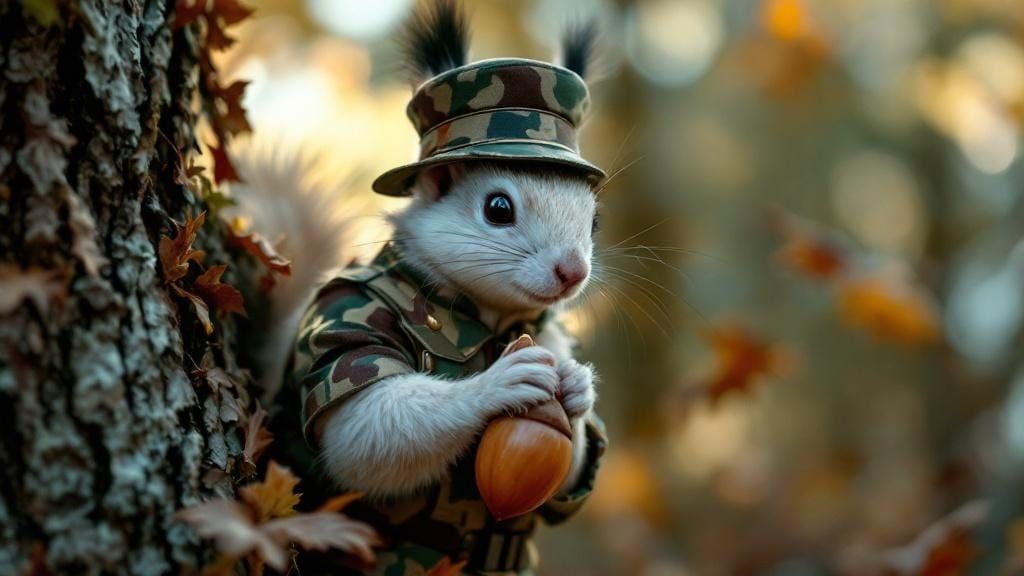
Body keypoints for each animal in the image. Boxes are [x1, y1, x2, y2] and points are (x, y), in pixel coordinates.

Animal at [232, 1, 607, 573]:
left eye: (594, 221)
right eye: (498, 208)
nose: (573, 272)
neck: (488, 316)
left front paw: (578, 387)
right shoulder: (342, 315)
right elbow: (363, 429)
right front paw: (498, 383)